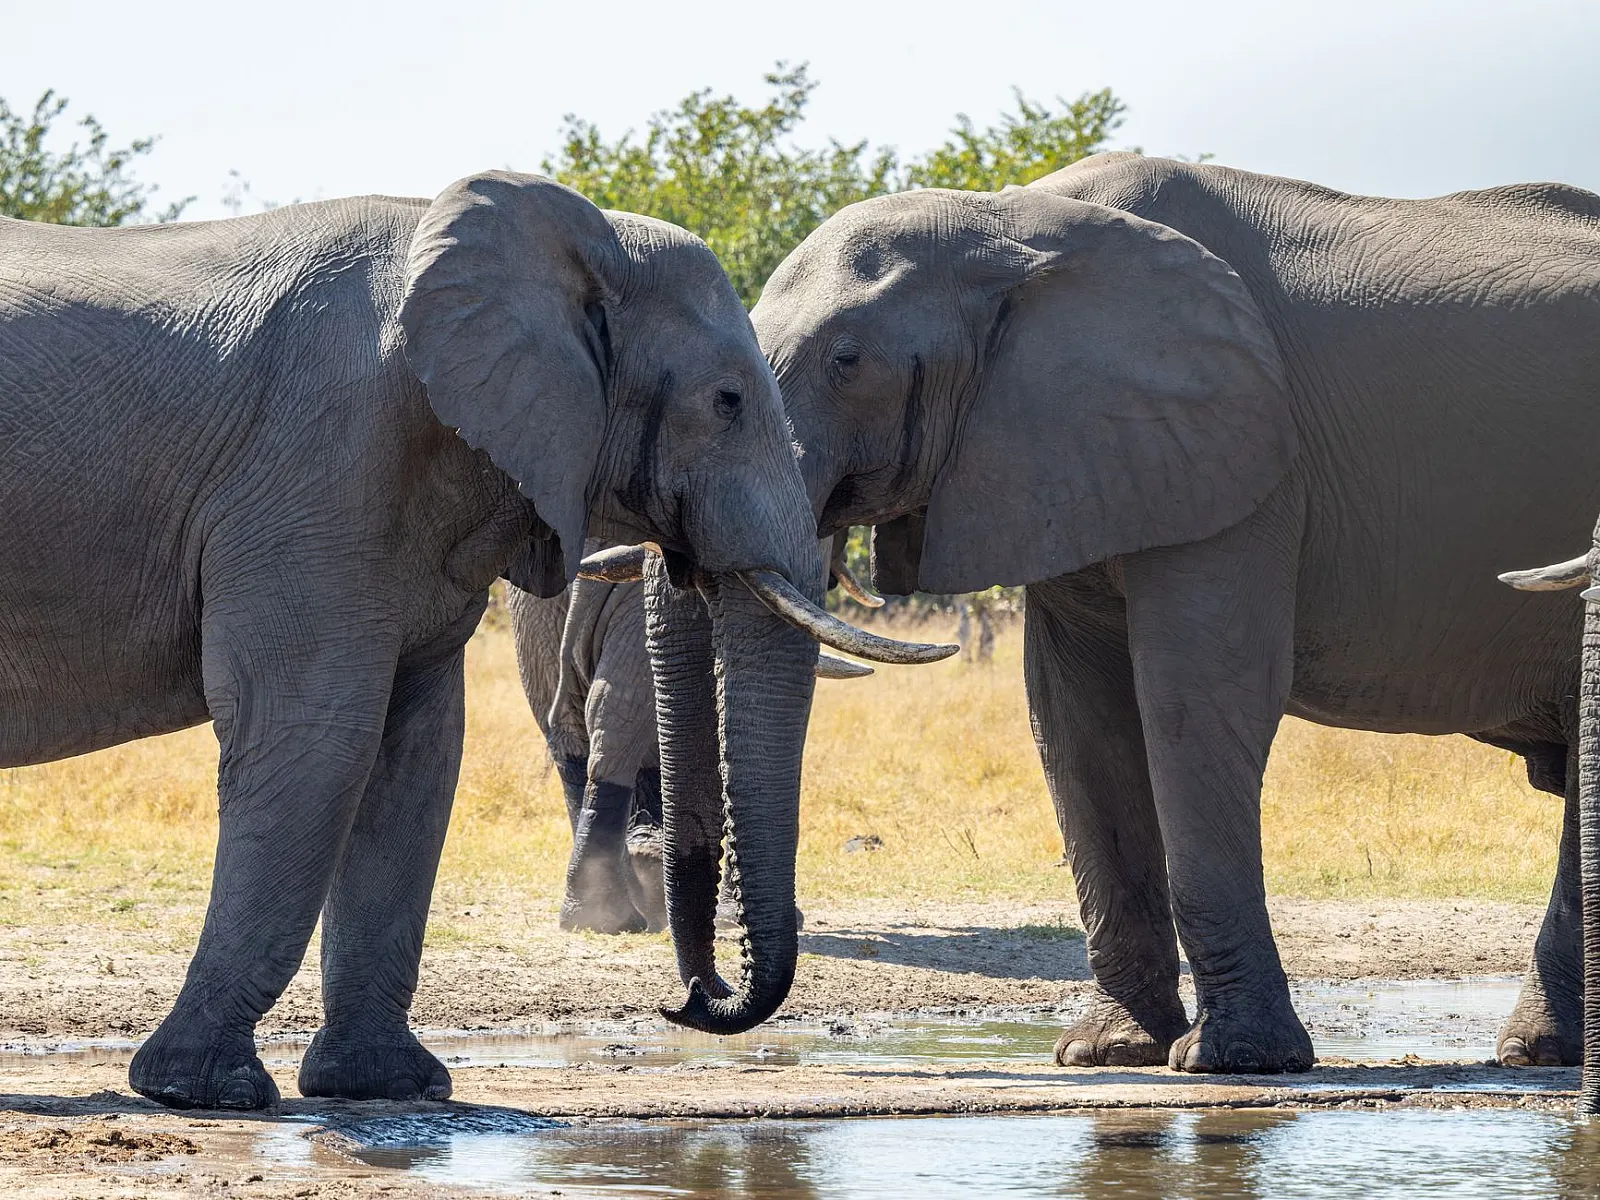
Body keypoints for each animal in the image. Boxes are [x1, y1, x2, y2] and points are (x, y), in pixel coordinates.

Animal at [745, 151, 1600, 1074]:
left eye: (847, 361)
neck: (1009, 220)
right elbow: (1075, 721)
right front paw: (1107, 1053)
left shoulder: (1243, 459)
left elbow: (1197, 700)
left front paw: (1232, 1062)